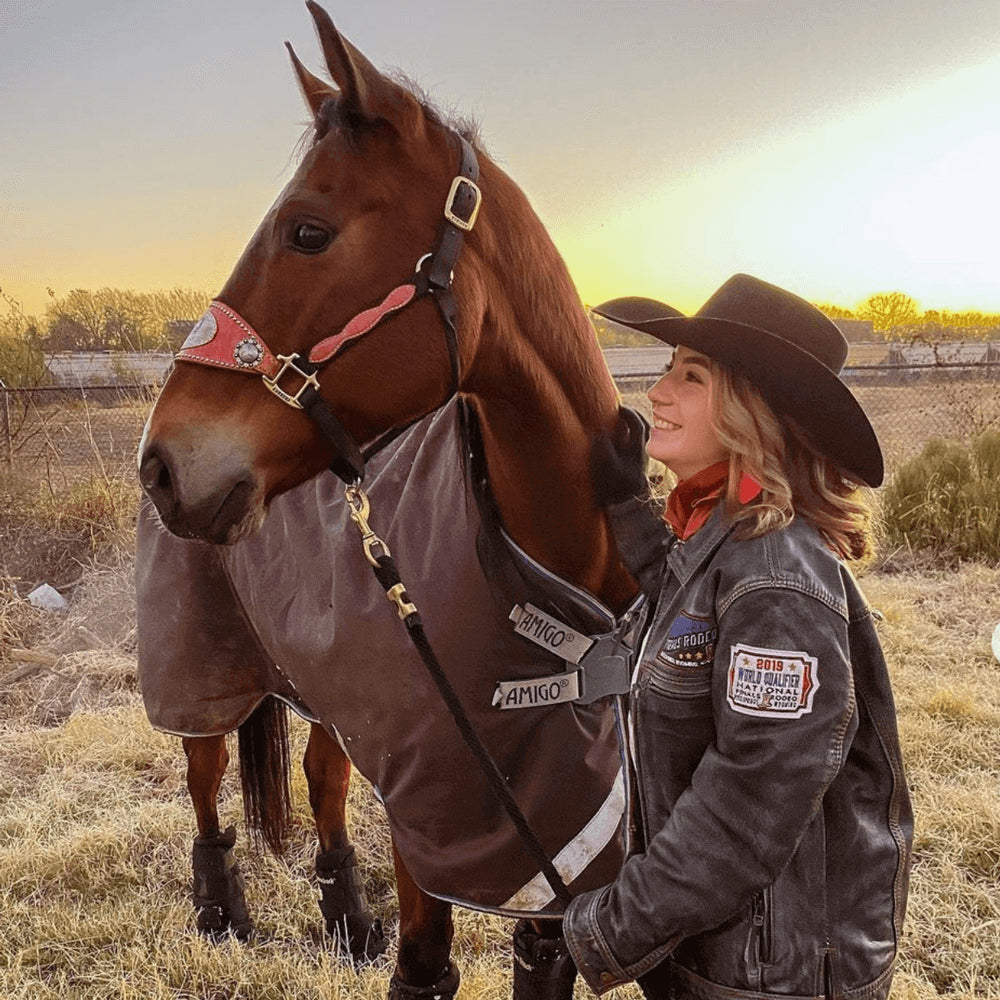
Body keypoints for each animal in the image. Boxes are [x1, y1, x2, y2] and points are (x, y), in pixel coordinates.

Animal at [136, 4, 641, 997]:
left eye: (307, 232)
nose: (164, 465)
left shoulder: (554, 826)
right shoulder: (439, 812)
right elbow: (423, 969)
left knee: (320, 774)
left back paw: (345, 916)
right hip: (199, 661)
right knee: (205, 769)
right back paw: (219, 911)